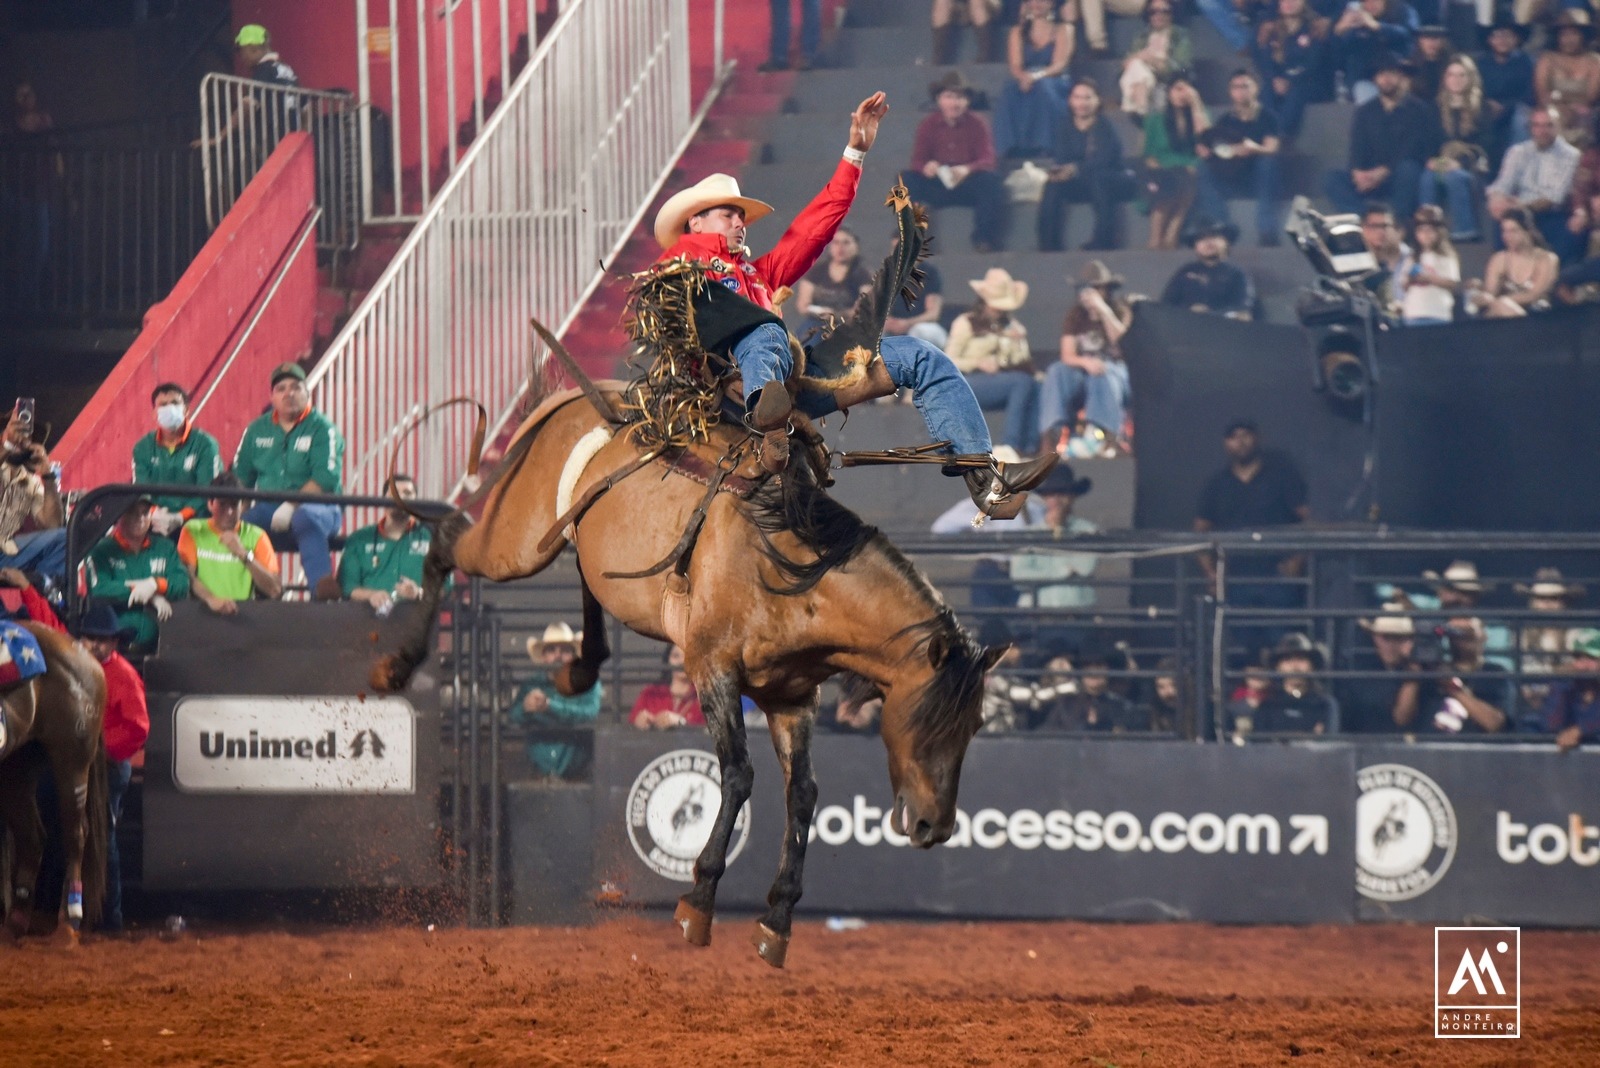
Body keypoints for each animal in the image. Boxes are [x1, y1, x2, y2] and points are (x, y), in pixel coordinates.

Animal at [0, 626, 108, 940]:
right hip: (16, 767)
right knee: (33, 838)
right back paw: (16, 922)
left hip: (72, 763)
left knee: (75, 834)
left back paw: (68, 920)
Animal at [374, 378, 998, 965]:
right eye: (925, 722)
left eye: (973, 728)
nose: (936, 827)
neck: (790, 564)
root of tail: (573, 398)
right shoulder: (713, 671)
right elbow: (739, 775)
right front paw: (698, 899)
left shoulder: (793, 699)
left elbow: (802, 794)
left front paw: (777, 920)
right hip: (517, 542)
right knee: (446, 540)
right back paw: (395, 667)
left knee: (583, 572)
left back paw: (581, 667)